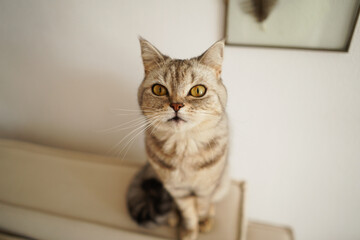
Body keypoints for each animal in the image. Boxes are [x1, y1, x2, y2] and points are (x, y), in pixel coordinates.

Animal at [126, 38, 229, 240]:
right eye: (159, 89)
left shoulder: (206, 188)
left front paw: (202, 221)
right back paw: (173, 217)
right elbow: (188, 213)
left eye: (198, 90)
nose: (176, 105)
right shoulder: (177, 191)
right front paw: (188, 230)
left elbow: (202, 207)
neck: (184, 146)